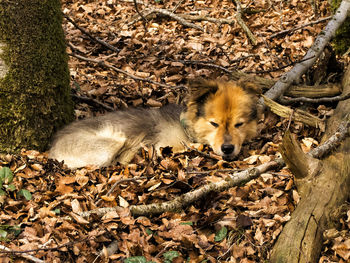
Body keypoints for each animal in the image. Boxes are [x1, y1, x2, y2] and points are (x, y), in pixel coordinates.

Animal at [49, 79, 260, 169]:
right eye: (214, 124)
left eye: (239, 124)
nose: (227, 148)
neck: (188, 128)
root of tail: (51, 148)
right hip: (112, 142)